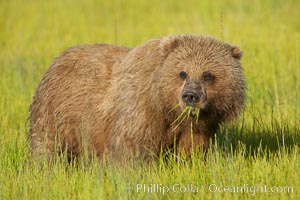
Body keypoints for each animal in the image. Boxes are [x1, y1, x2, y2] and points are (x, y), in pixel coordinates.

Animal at [29, 35, 246, 163]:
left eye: (208, 75)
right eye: (182, 73)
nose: (190, 95)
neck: (165, 104)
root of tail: (57, 58)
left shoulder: (197, 127)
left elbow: (192, 150)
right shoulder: (141, 109)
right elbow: (131, 147)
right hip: (58, 111)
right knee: (47, 145)